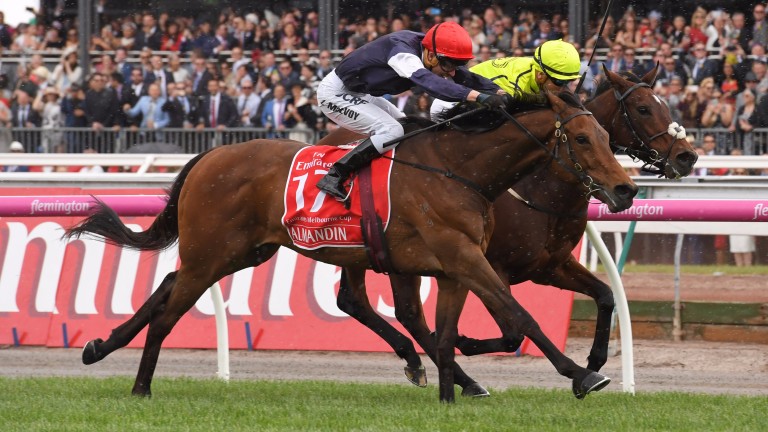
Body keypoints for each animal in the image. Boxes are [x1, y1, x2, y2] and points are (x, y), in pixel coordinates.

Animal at [67, 90, 636, 402]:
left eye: (608, 137)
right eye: (581, 139)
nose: (626, 189)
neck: (460, 170)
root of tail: (209, 156)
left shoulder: (458, 264)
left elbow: (451, 330)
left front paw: (455, 383)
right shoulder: (468, 258)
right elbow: (520, 318)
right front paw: (583, 374)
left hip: (242, 252)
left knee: (166, 284)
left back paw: (100, 347)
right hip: (213, 253)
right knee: (169, 310)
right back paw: (140, 386)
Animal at [316, 66, 700, 398]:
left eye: (666, 105)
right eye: (643, 109)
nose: (687, 157)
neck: (539, 184)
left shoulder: (548, 266)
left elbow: (606, 295)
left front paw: (594, 361)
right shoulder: (488, 264)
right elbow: (514, 329)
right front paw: (468, 343)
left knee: (366, 304)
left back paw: (440, 370)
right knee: (386, 308)